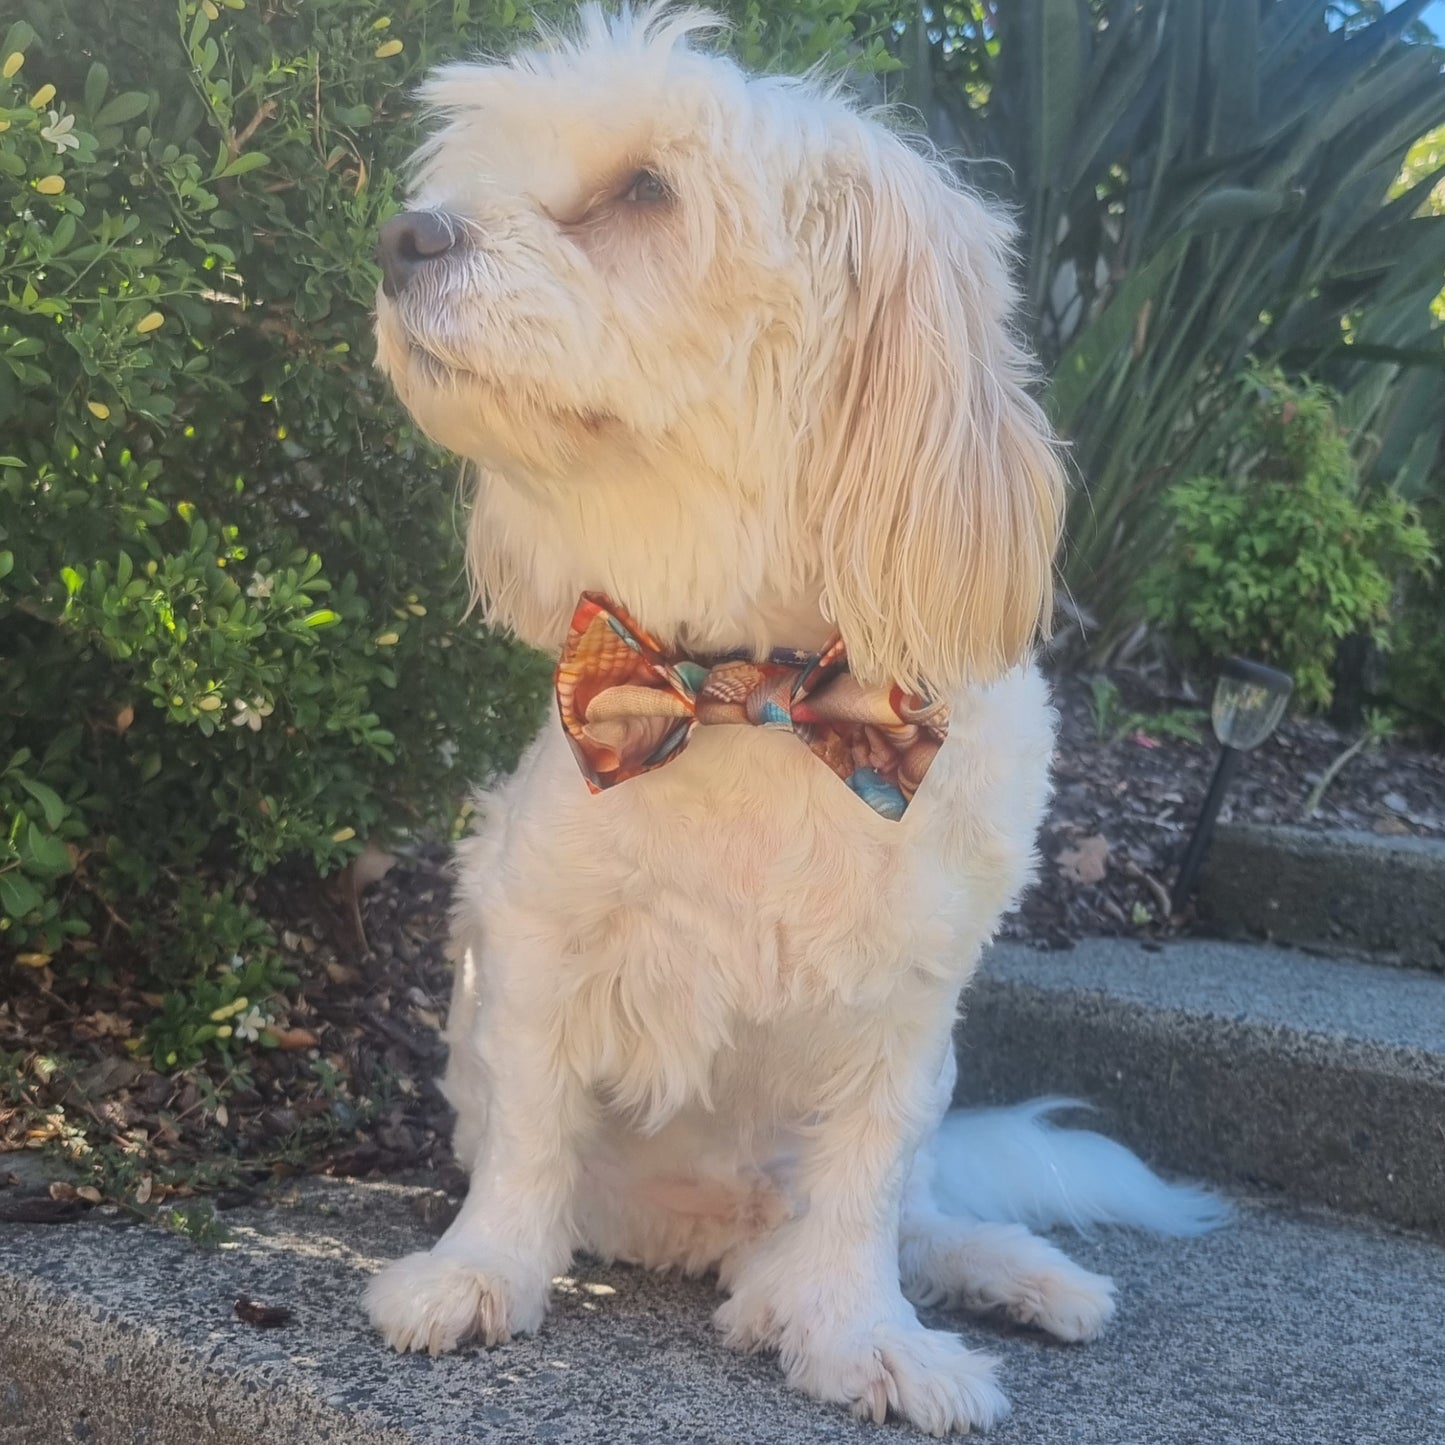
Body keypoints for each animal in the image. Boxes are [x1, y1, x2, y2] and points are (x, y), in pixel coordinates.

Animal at [364, 8, 1219, 1433]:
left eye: (644, 191)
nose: (402, 236)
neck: (751, 693)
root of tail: (711, 1229)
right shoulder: (536, 947)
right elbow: (528, 1138)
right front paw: (477, 1272)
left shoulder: (901, 1020)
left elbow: (860, 1196)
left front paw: (860, 1333)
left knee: (911, 1218)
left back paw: (1012, 1272)